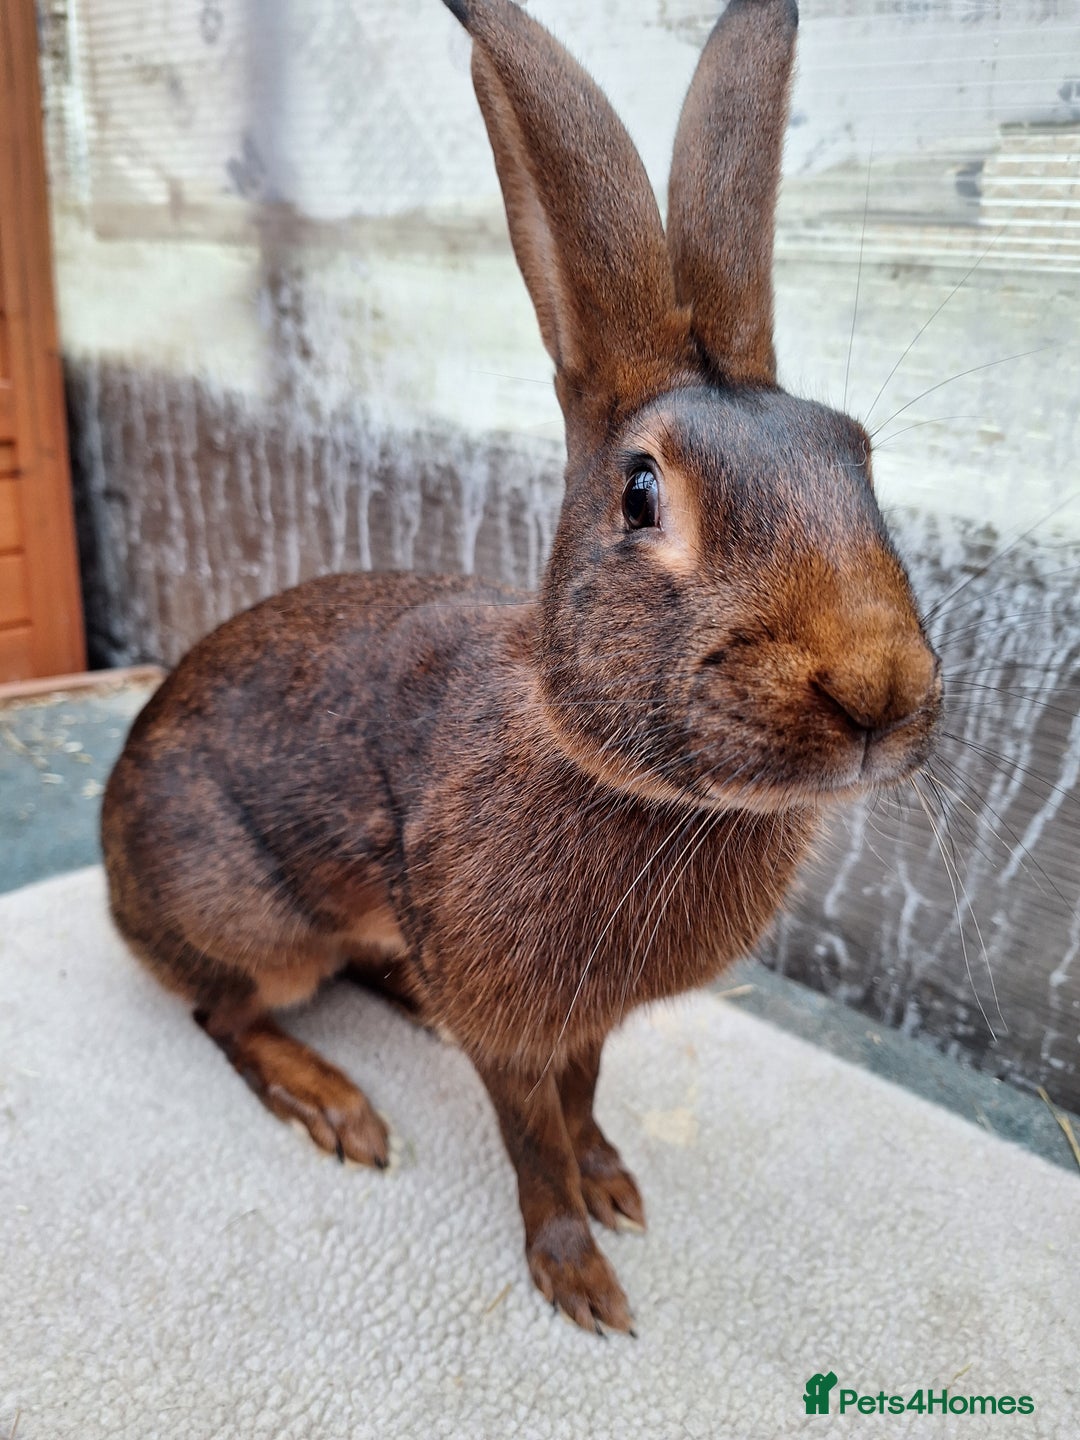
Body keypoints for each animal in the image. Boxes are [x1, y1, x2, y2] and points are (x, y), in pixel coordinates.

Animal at [101, 0, 942, 1336]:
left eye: (857, 456)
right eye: (641, 494)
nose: (877, 691)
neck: (604, 767)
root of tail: (113, 881)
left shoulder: (584, 1017)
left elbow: (582, 1101)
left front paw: (615, 1184)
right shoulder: (514, 1013)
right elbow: (530, 1134)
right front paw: (578, 1274)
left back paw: (402, 1005)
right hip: (244, 908)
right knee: (220, 1010)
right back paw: (330, 1099)